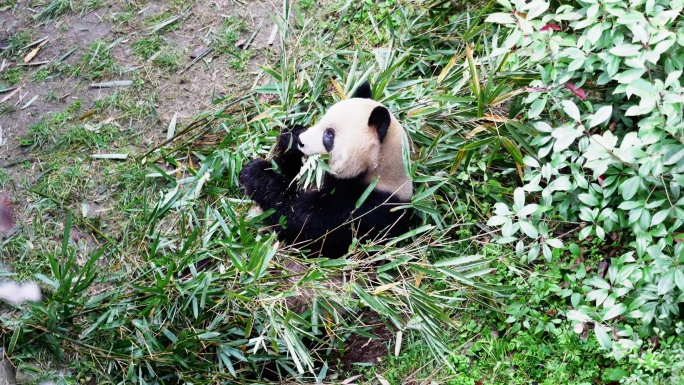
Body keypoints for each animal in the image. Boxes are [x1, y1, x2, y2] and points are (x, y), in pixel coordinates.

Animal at [238, 82, 414, 260]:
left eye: (329, 134)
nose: (302, 142)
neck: (378, 170)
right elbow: (298, 178)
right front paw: (291, 137)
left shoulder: (366, 206)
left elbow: (306, 227)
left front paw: (255, 172)